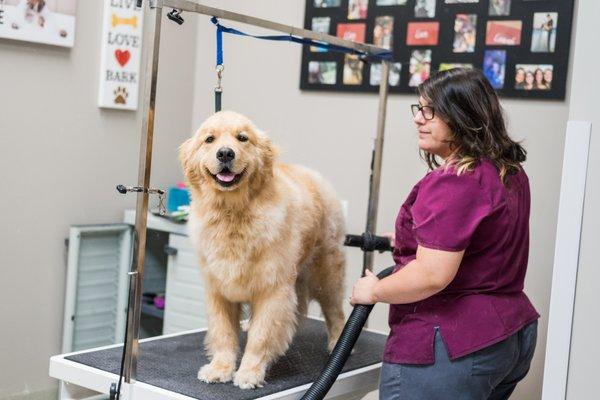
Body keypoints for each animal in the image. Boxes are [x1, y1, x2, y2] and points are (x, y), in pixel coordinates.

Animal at [179, 111, 346, 390]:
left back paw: (337, 343)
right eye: (209, 139)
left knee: (336, 311)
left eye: (242, 138)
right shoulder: (218, 291)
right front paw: (220, 369)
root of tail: (315, 175)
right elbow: (223, 333)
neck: (233, 214)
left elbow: (261, 337)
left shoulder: (272, 289)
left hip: (326, 274)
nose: (225, 153)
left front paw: (249, 373)